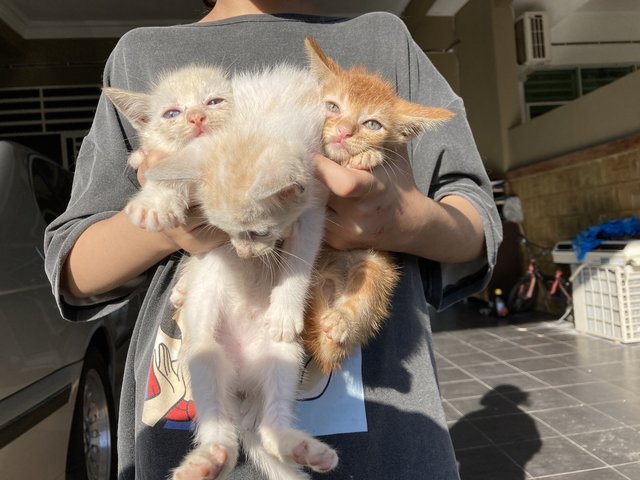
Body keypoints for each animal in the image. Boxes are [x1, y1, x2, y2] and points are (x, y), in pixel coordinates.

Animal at [149, 63, 340, 480]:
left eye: (258, 233)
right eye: (222, 232)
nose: (243, 254)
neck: (265, 114)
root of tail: (242, 378)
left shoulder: (314, 203)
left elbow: (299, 263)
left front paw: (284, 309)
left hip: (284, 359)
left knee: (268, 430)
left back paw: (302, 447)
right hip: (203, 357)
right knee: (223, 434)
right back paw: (205, 462)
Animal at [302, 38, 456, 376]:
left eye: (371, 124)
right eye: (332, 107)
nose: (344, 131)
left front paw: (368, 156)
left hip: (375, 264)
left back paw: (341, 321)